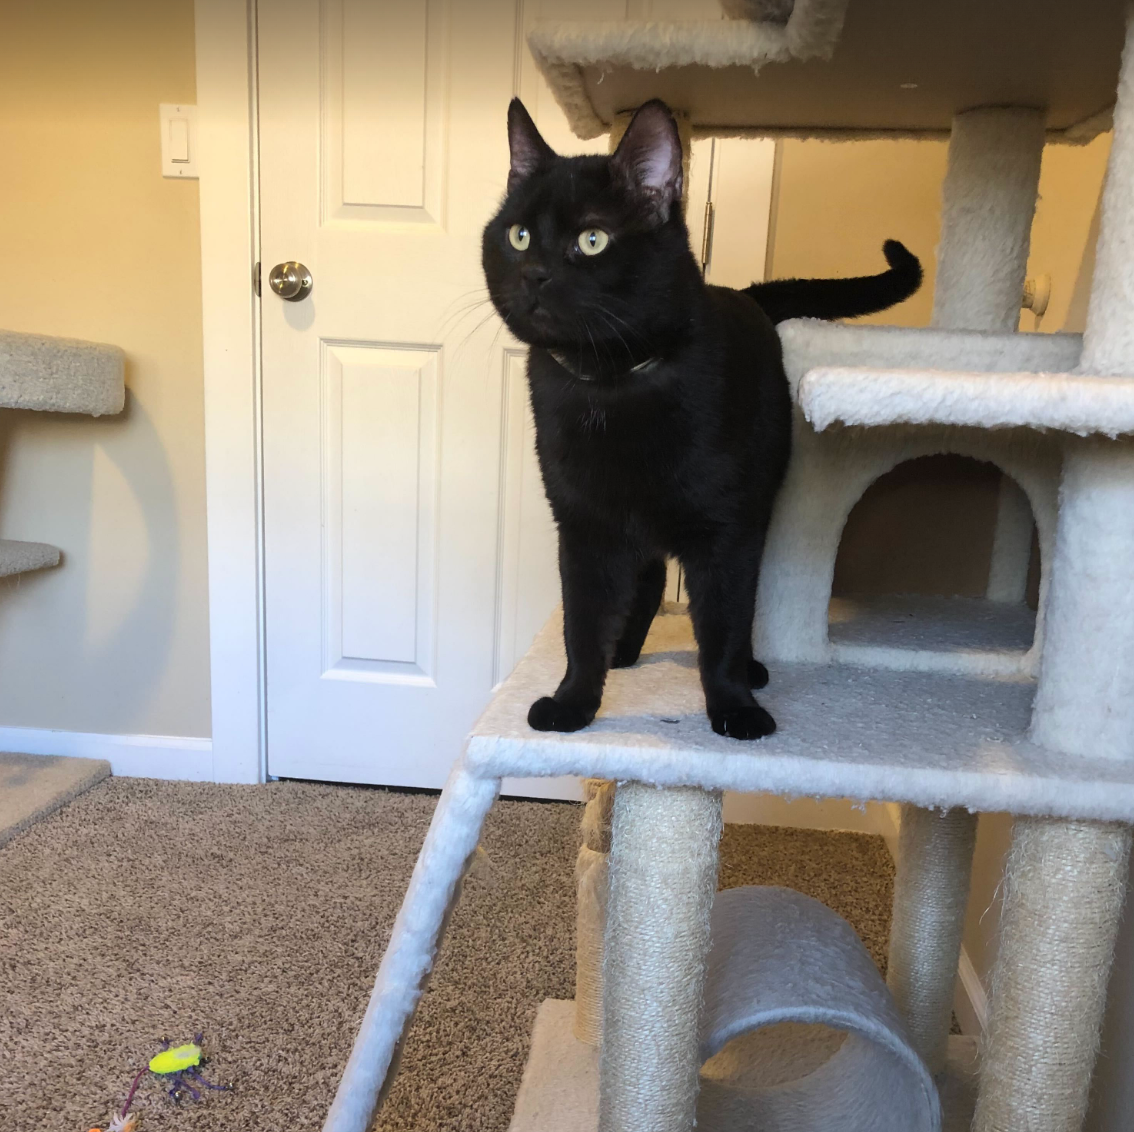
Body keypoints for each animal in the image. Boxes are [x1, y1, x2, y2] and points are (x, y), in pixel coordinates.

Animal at [480, 99, 920, 744]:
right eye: (519, 236)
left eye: (592, 239)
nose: (533, 273)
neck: (612, 384)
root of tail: (747, 295)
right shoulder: (584, 524)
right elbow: (581, 623)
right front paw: (573, 701)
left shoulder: (727, 529)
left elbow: (725, 624)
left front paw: (735, 707)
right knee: (648, 581)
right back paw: (624, 650)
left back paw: (752, 669)